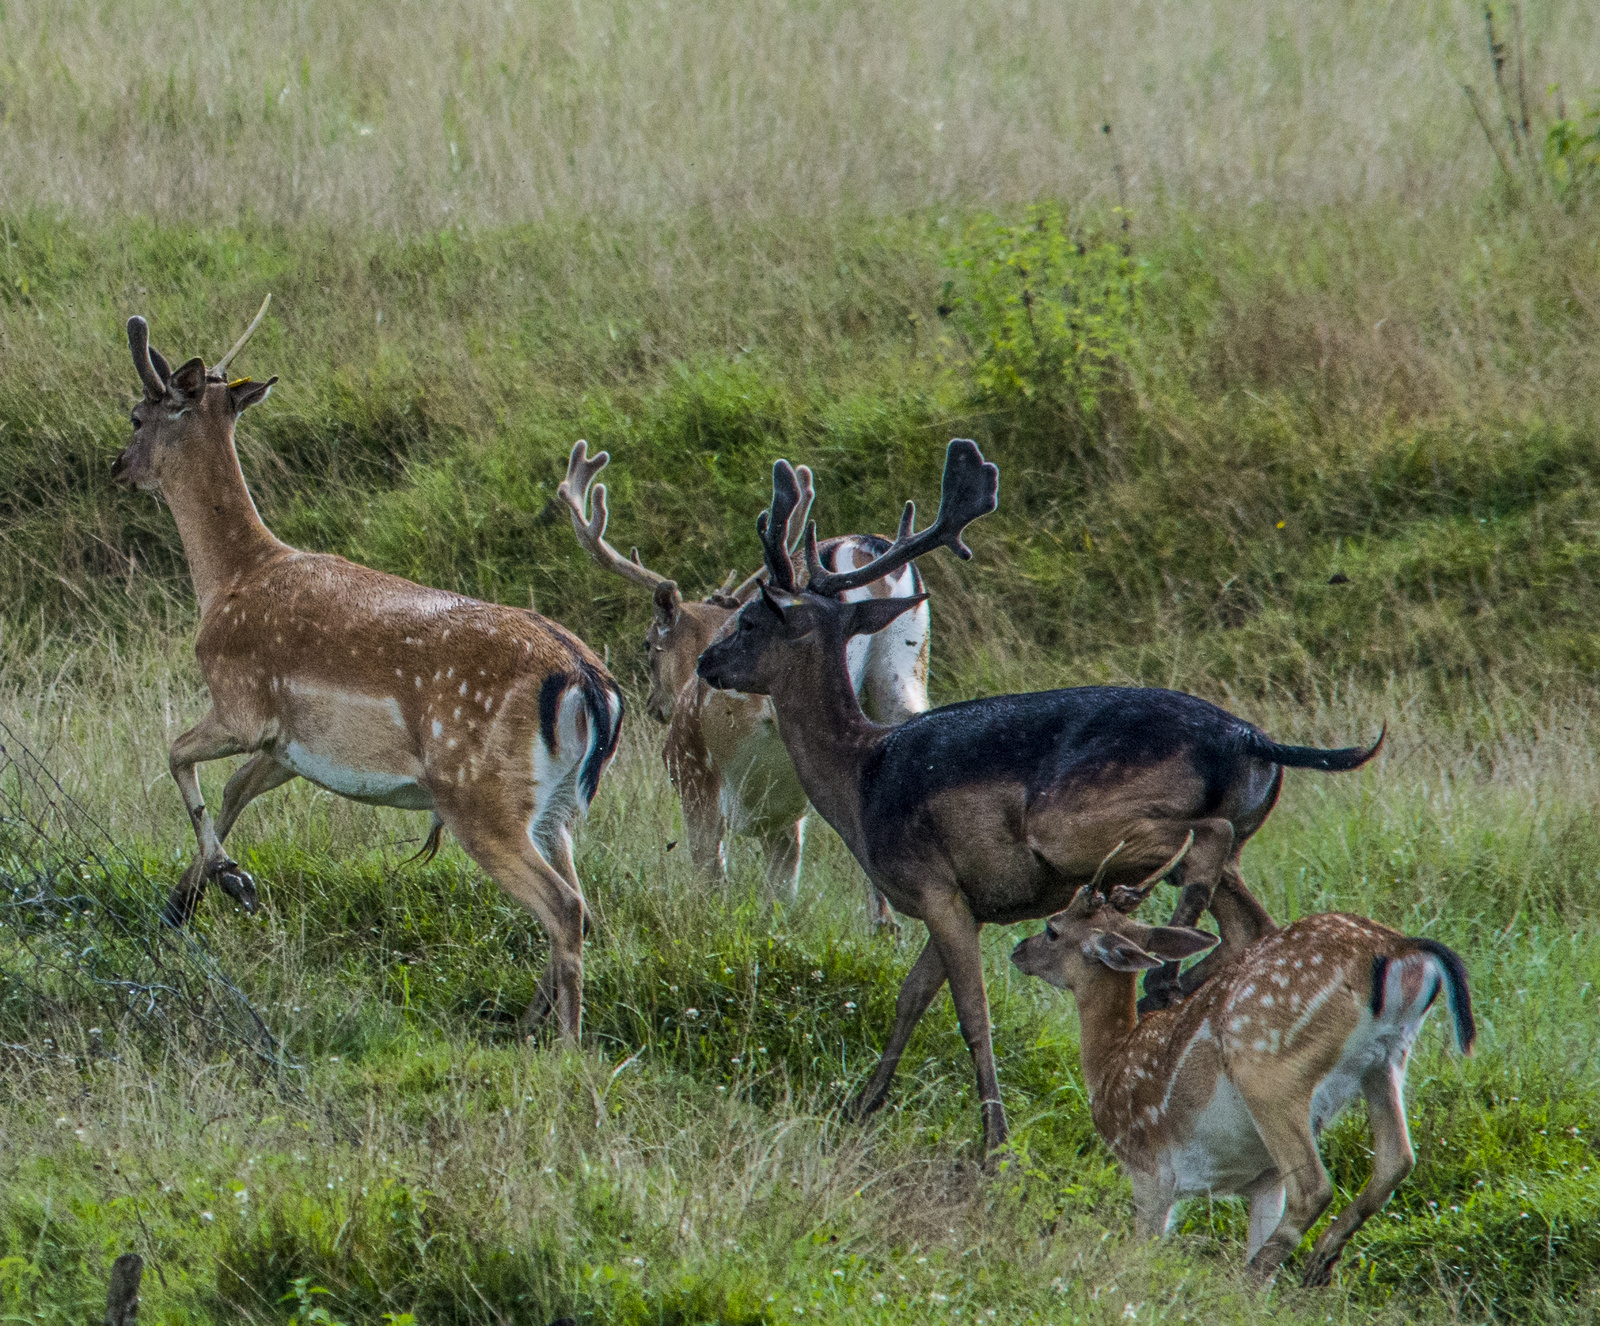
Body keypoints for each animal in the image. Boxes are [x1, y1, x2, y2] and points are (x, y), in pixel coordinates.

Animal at [112, 305, 620, 1042]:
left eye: (135, 416)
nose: (117, 467)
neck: (228, 582)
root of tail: (588, 682)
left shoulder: (243, 704)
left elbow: (176, 756)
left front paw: (224, 885)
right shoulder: (291, 747)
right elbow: (234, 790)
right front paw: (191, 898)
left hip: (479, 796)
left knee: (564, 908)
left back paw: (565, 1046)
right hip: (556, 810)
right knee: (578, 902)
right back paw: (529, 1024)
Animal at [556, 438, 928, 921]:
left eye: (647, 644)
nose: (655, 705)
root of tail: (864, 556)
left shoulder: (695, 777)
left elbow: (710, 883)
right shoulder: (784, 820)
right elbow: (779, 901)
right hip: (904, 678)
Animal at [694, 438, 1382, 1151]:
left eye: (750, 618)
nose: (705, 663)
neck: (859, 782)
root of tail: (1255, 739)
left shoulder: (934, 885)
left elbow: (971, 1012)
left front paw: (994, 1137)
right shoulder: (969, 900)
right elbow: (912, 997)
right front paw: (863, 1104)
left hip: (1072, 824)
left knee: (1203, 842)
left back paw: (1159, 972)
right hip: (1232, 838)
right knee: (1250, 919)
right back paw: (1176, 971)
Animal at [1011, 876, 1472, 1286]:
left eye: (1052, 929)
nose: (1017, 949)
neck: (1109, 1064)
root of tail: (1399, 948)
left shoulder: (1150, 1169)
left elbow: (1143, 1250)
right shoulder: (1263, 1180)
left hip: (1266, 1069)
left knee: (1315, 1186)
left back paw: (1255, 1277)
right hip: (1387, 1057)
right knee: (1397, 1160)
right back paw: (1315, 1263)